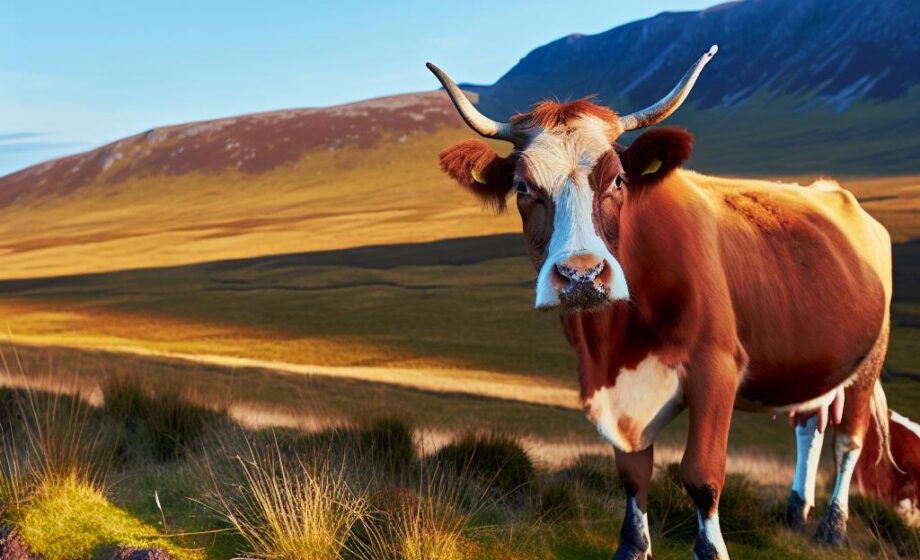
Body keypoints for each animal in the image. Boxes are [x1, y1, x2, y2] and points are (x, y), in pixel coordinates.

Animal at [428, 44, 895, 560]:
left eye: (617, 181)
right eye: (523, 187)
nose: (581, 275)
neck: (620, 335)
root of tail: (835, 191)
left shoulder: (717, 366)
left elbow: (701, 474)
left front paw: (711, 549)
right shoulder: (606, 381)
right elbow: (633, 473)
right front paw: (633, 546)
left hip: (869, 360)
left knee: (849, 441)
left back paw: (832, 527)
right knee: (809, 427)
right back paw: (795, 514)